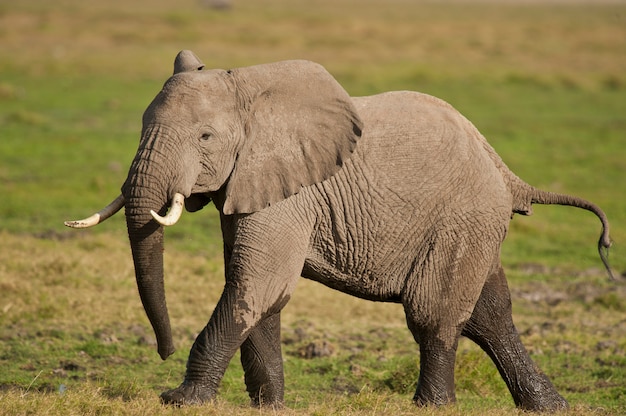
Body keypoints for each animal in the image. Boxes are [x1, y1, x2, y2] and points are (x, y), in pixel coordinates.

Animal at [66, 50, 612, 412]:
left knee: (434, 313)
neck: (250, 89)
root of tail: (505, 170)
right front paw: (270, 406)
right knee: (490, 314)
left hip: (463, 218)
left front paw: (181, 400)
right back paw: (550, 407)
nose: (164, 350)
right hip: (474, 223)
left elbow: (254, 283)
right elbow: (262, 291)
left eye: (205, 137)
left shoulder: (290, 192)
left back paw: (432, 406)